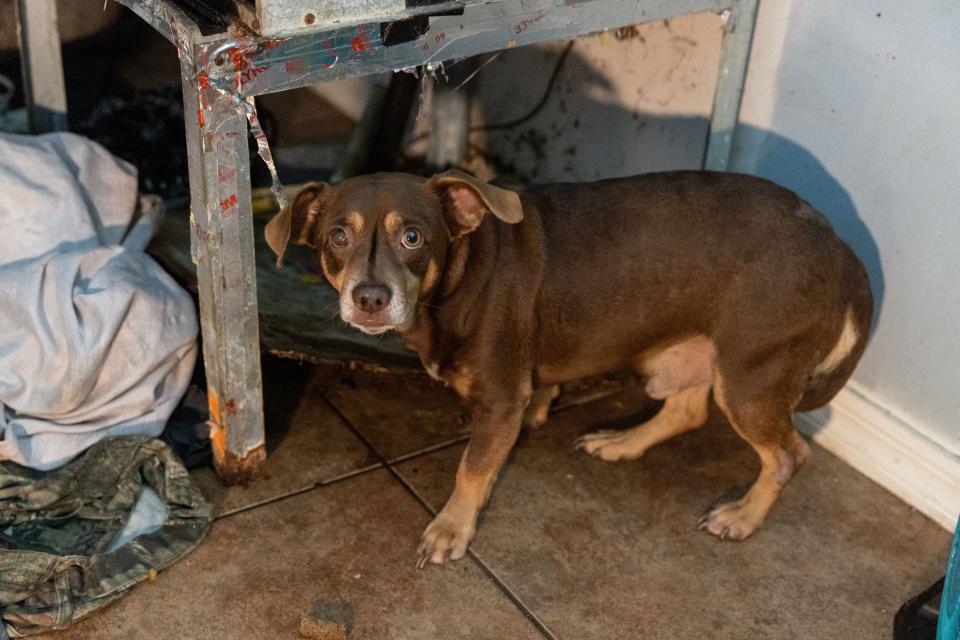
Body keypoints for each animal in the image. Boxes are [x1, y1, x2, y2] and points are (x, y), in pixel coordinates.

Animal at [262, 169, 872, 564]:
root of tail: (844, 252)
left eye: (413, 237)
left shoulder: (501, 398)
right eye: (337, 237)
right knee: (688, 411)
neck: (461, 275)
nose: (369, 298)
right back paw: (622, 443)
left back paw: (742, 516)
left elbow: (470, 469)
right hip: (690, 352)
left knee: (790, 454)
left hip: (749, 378)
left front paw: (451, 530)